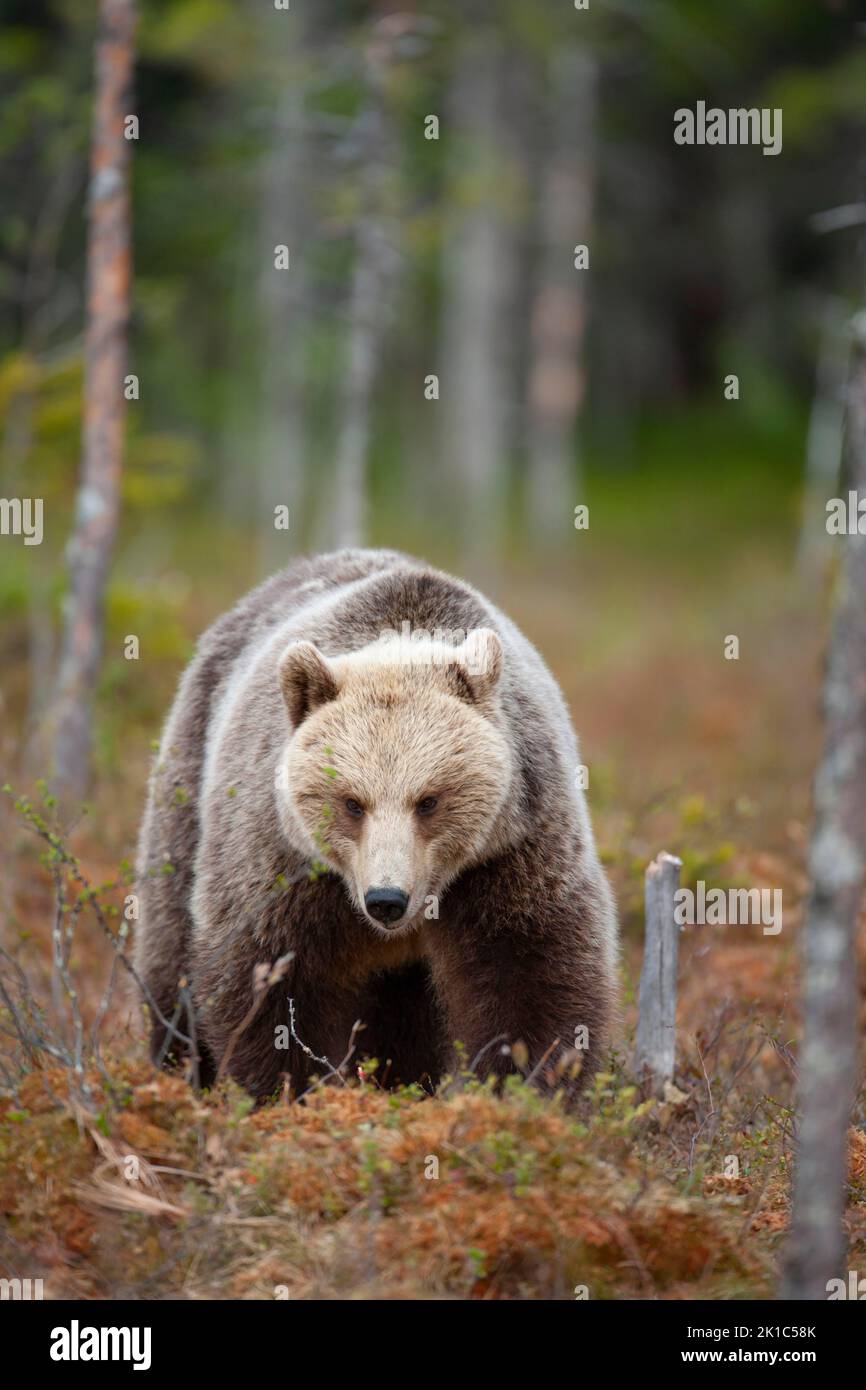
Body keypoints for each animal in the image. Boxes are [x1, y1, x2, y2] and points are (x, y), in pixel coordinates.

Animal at [133, 548, 618, 1101]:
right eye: (352, 802)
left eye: (428, 800)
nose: (386, 899)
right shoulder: (283, 858)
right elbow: (271, 978)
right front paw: (288, 1090)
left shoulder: (512, 845)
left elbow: (532, 971)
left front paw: (525, 1089)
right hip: (188, 779)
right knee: (170, 947)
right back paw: (178, 1067)